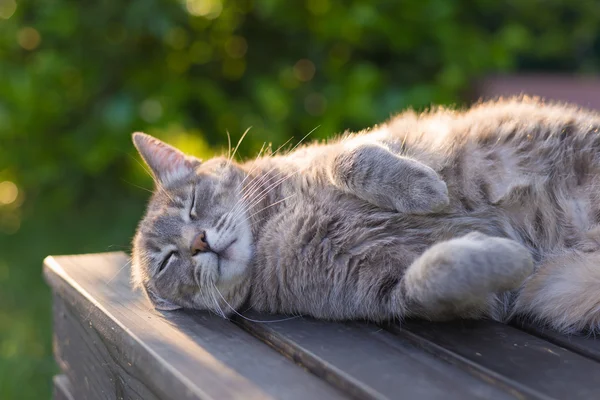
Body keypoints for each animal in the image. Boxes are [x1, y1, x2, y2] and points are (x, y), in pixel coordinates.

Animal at [134, 97, 600, 334]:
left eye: (193, 203)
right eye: (167, 260)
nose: (197, 242)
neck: (271, 228)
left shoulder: (369, 140)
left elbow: (351, 157)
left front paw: (423, 189)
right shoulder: (390, 293)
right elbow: (436, 274)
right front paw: (510, 256)